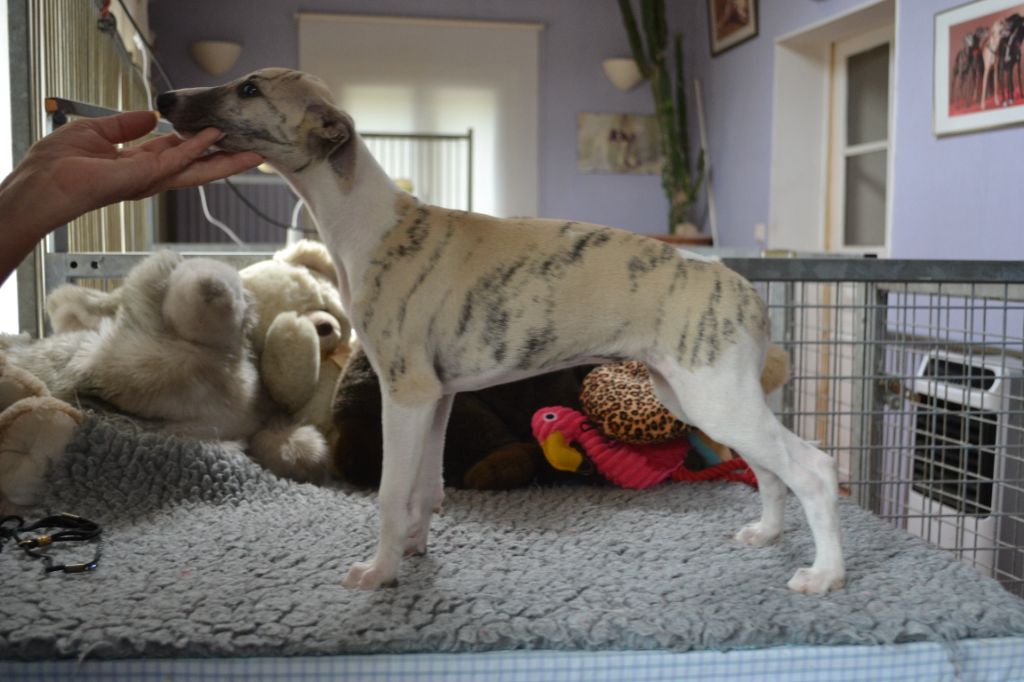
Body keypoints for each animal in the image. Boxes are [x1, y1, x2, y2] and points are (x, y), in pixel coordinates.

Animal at [156, 68, 845, 594]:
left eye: (249, 88)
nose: (162, 99)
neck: (369, 221)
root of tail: (746, 290)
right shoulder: (437, 396)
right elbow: (426, 488)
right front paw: (414, 551)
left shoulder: (404, 392)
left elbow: (389, 492)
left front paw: (379, 573)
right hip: (695, 396)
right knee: (773, 468)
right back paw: (768, 533)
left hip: (713, 397)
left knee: (812, 466)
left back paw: (825, 575)